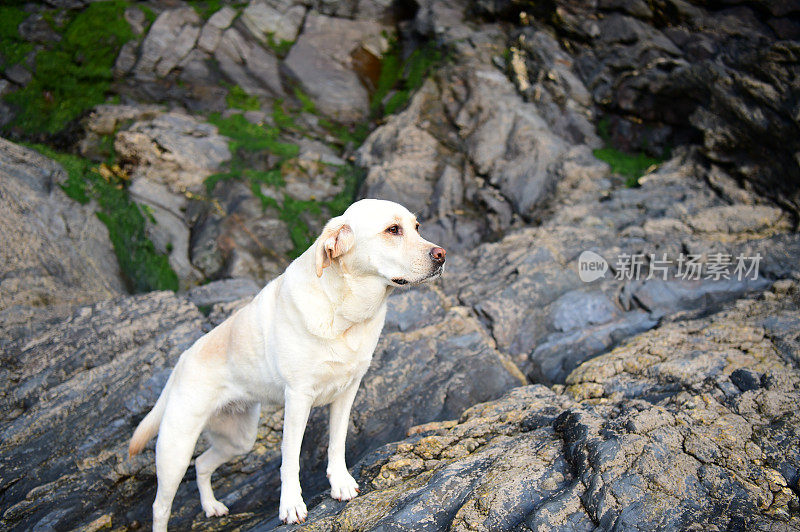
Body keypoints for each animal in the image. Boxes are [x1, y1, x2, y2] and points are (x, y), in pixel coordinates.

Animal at [128, 198, 446, 528]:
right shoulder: (298, 398)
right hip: (175, 450)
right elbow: (290, 458)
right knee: (161, 506)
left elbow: (337, 441)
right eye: (393, 230)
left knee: (202, 464)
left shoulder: (347, 392)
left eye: (417, 227)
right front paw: (291, 505)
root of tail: (182, 359)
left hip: (238, 439)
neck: (344, 312)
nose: (441, 255)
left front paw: (340, 483)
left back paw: (212, 506)